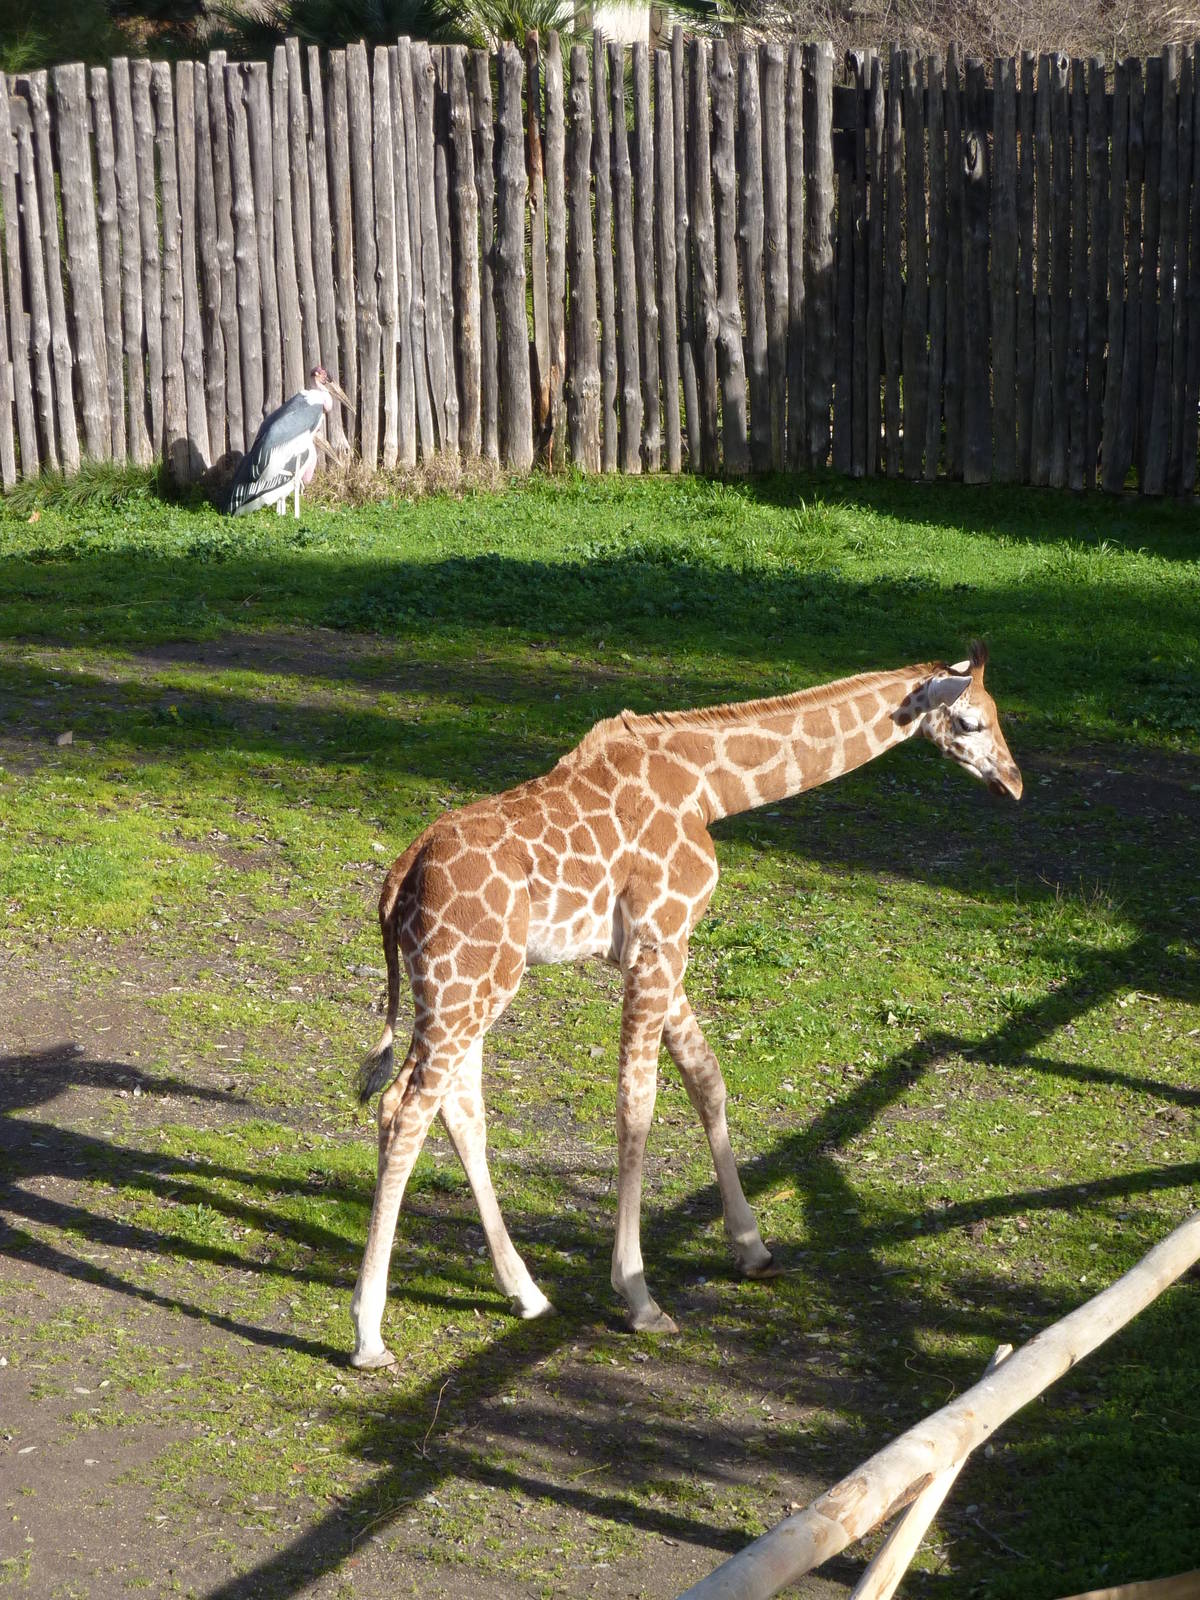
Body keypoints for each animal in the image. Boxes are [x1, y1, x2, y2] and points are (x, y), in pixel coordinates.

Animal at [349, 643, 1021, 1367]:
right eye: (974, 722)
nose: (1013, 784)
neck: (707, 785)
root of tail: (399, 876)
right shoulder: (660, 940)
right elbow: (637, 1105)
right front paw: (639, 1297)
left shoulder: (654, 948)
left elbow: (705, 1076)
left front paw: (753, 1249)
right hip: (467, 984)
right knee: (403, 1109)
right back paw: (368, 1332)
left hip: (464, 984)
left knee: (457, 1106)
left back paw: (525, 1294)